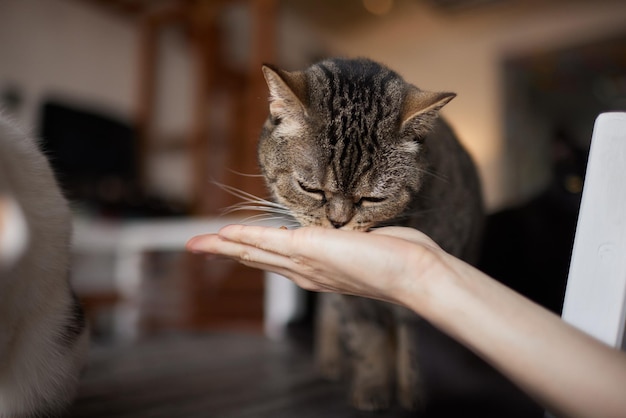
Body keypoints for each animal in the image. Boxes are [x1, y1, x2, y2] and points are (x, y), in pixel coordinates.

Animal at [255, 58, 482, 412]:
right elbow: (365, 339)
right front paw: (372, 387)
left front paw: (412, 393)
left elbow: (412, 348)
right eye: (310, 189)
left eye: (372, 199)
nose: (337, 223)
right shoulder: (351, 302)